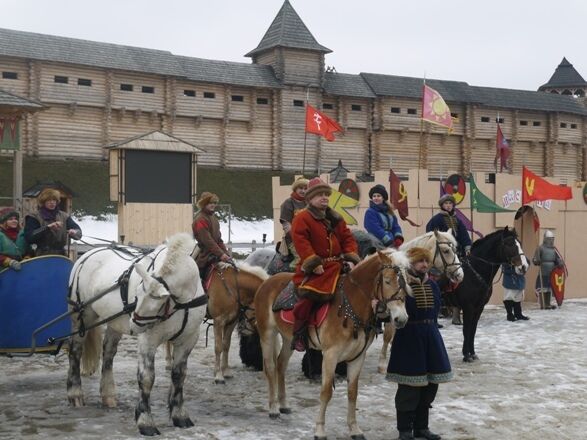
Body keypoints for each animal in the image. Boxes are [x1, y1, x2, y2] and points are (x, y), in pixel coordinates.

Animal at [66, 232, 207, 434]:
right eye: (138, 292)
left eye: (158, 303)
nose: (134, 324)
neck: (182, 302)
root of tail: (86, 255)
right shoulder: (148, 340)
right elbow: (146, 378)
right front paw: (145, 420)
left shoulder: (188, 340)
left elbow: (179, 376)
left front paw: (180, 415)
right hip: (82, 317)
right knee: (75, 352)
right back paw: (75, 393)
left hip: (114, 322)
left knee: (108, 354)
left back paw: (108, 395)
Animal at [255, 251, 412, 440]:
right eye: (387, 281)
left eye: (406, 281)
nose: (401, 319)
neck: (352, 305)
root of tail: (267, 281)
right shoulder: (330, 355)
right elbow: (326, 392)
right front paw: (320, 430)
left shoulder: (357, 357)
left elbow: (352, 392)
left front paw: (354, 428)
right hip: (267, 334)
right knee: (270, 368)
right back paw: (273, 408)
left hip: (288, 339)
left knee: (280, 365)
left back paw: (283, 404)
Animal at [452, 227, 532, 360]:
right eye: (510, 244)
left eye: (520, 243)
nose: (524, 266)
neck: (474, 272)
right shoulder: (468, 307)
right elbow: (466, 330)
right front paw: (466, 355)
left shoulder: (479, 307)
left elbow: (472, 330)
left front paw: (472, 353)